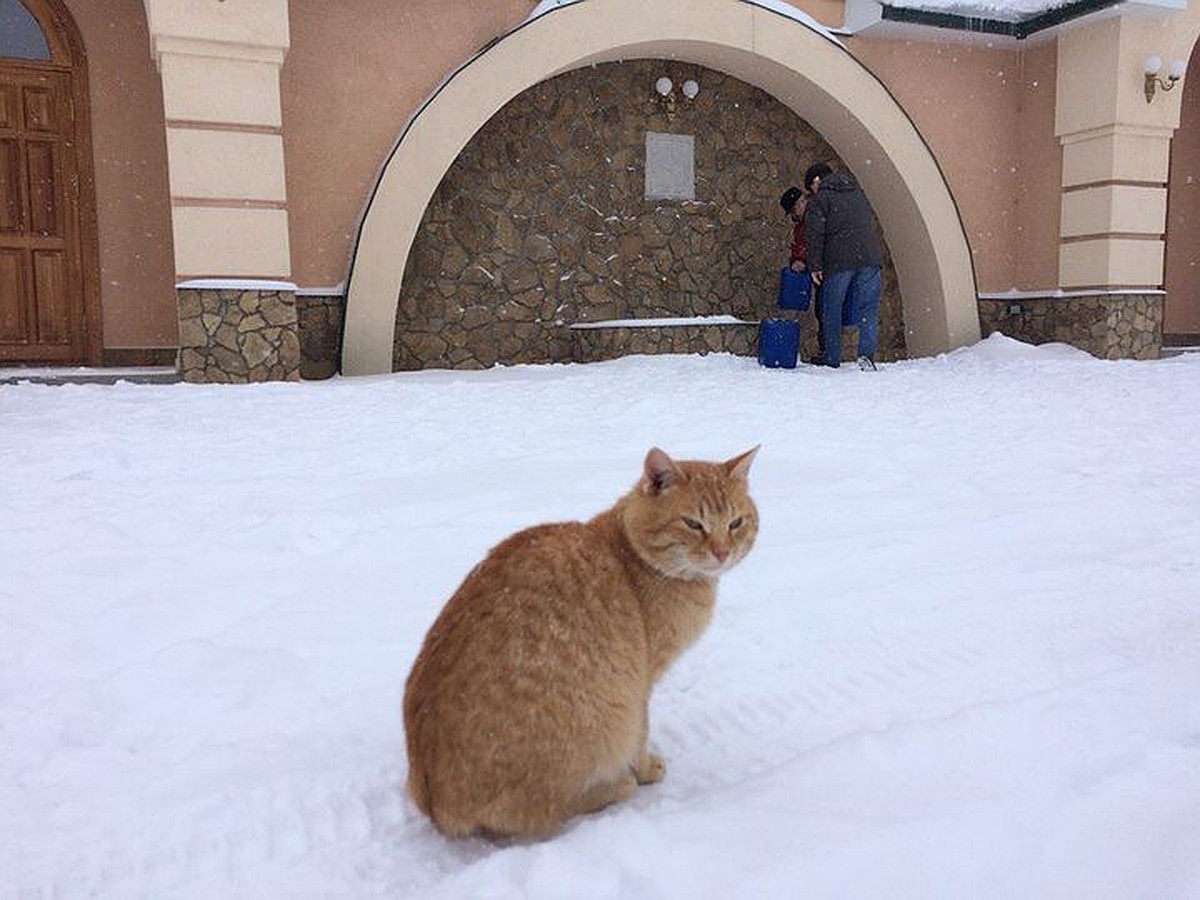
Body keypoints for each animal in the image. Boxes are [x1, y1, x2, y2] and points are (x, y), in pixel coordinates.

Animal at [403, 448, 758, 844]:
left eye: (736, 523)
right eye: (693, 524)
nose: (722, 552)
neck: (629, 551)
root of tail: (439, 810)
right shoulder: (640, 683)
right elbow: (641, 732)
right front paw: (644, 770)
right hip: (606, 713)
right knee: (545, 813)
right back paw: (615, 787)